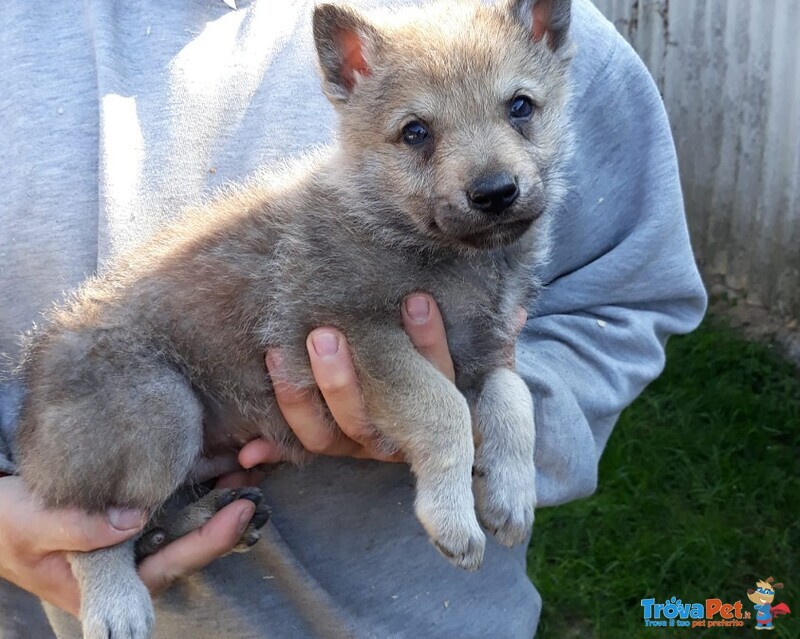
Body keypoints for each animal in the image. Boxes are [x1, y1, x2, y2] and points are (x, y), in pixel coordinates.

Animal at [12, 0, 576, 636]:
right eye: (416, 132)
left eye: (520, 107)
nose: (495, 192)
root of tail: (30, 387)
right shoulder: (357, 332)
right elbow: (443, 410)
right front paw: (452, 520)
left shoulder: (486, 352)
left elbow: (514, 401)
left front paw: (512, 494)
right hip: (161, 411)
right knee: (97, 528)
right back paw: (116, 600)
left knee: (149, 525)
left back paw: (206, 514)